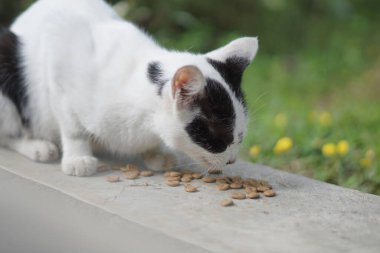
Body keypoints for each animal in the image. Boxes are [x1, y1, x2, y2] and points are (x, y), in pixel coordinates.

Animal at [0, 0, 258, 177]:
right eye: (219, 139)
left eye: (240, 136)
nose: (232, 160)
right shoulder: (57, 61)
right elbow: (73, 127)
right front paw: (78, 157)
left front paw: (155, 153)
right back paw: (38, 146)